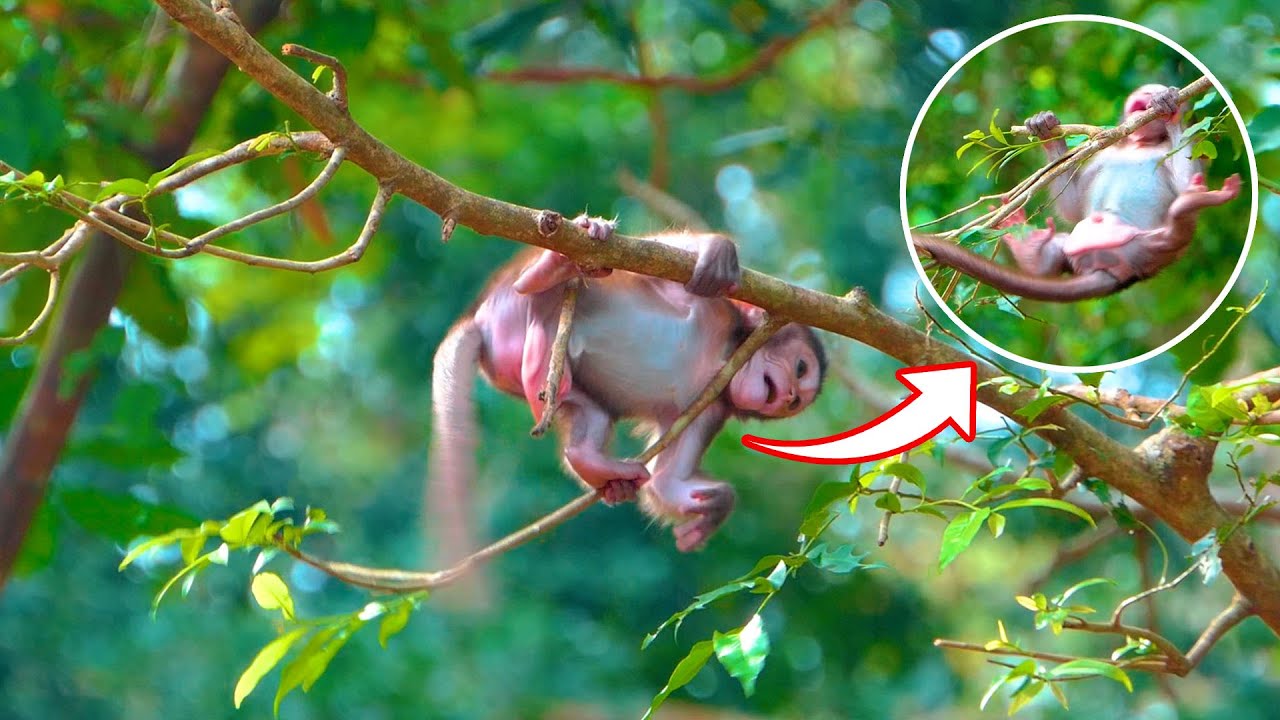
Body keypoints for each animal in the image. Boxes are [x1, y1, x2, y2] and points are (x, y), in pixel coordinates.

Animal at [428, 216, 826, 560]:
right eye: (800, 368)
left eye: (796, 403)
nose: (791, 395)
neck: (722, 356)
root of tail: (479, 320)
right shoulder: (715, 309)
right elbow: (655, 258)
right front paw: (718, 251)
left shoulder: (710, 405)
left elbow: (665, 482)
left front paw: (716, 505)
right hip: (509, 304)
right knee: (548, 285)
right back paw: (547, 271)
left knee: (588, 411)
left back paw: (585, 452)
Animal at [913, 84, 1241, 302]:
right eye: (1145, 90)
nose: (1150, 94)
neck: (1139, 143)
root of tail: (1111, 271)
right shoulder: (1103, 154)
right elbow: (1072, 207)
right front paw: (1045, 129)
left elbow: (1187, 180)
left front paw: (1171, 107)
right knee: (1059, 248)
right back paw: (1031, 250)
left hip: (1152, 249)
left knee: (1177, 225)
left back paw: (1196, 202)